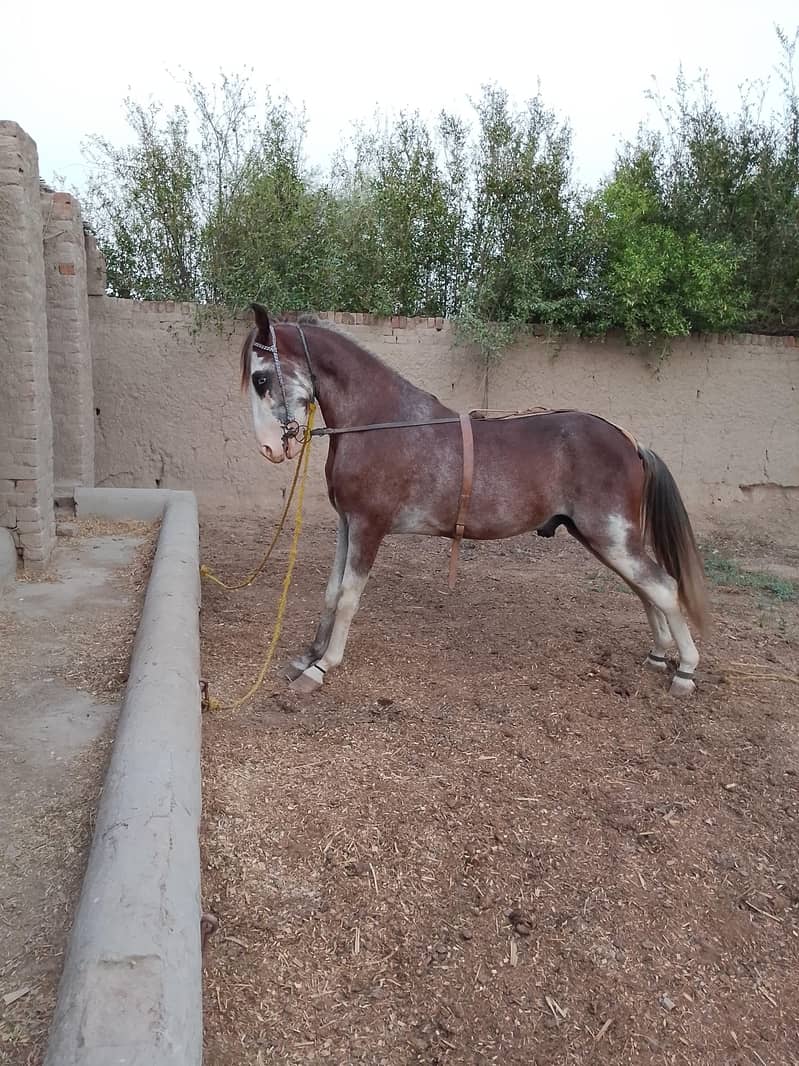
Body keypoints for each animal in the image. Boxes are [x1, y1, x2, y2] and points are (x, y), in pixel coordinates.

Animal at [240, 304, 708, 699]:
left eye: (261, 379)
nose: (269, 448)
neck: (379, 423)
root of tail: (629, 441)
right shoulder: (347, 524)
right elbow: (331, 591)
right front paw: (309, 654)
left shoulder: (369, 527)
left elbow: (349, 596)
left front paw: (324, 666)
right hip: (605, 540)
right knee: (646, 588)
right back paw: (659, 654)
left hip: (612, 538)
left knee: (663, 586)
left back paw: (685, 669)